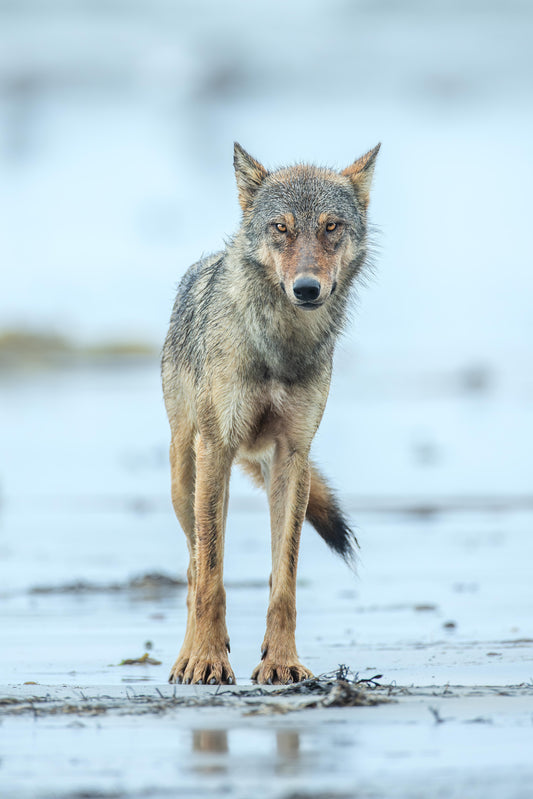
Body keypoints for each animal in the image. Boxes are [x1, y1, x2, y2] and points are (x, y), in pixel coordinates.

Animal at [161, 142, 380, 685]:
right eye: (281, 228)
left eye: (330, 227)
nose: (306, 289)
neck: (279, 347)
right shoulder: (217, 448)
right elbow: (211, 576)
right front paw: (208, 660)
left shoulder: (292, 454)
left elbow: (285, 579)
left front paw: (282, 662)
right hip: (187, 477)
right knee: (194, 568)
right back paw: (184, 659)